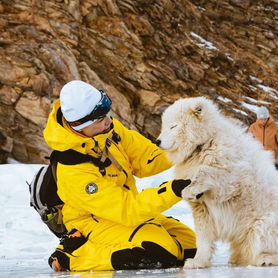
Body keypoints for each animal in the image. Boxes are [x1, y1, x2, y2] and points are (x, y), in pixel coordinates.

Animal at [157, 97, 278, 268]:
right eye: (164, 125)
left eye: (173, 126)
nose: (157, 141)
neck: (205, 142)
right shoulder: (202, 207)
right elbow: (203, 231)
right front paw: (196, 261)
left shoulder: (234, 170)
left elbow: (218, 177)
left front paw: (189, 190)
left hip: (263, 221)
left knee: (262, 235)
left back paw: (265, 259)